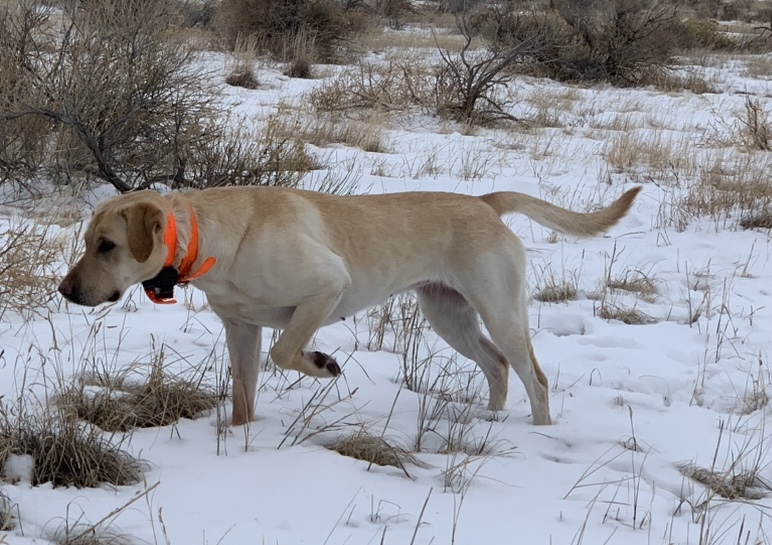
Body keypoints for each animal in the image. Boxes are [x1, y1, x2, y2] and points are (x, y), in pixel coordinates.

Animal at [58, 186, 640, 424]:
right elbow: (244, 395)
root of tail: (484, 203)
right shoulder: (241, 329)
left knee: (533, 378)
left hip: (500, 311)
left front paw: (322, 364)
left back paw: (538, 433)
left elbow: (287, 351)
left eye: (106, 246)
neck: (216, 239)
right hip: (449, 316)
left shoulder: (325, 287)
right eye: (87, 242)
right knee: (496, 366)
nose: (66, 291)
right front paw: (240, 441)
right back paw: (491, 421)